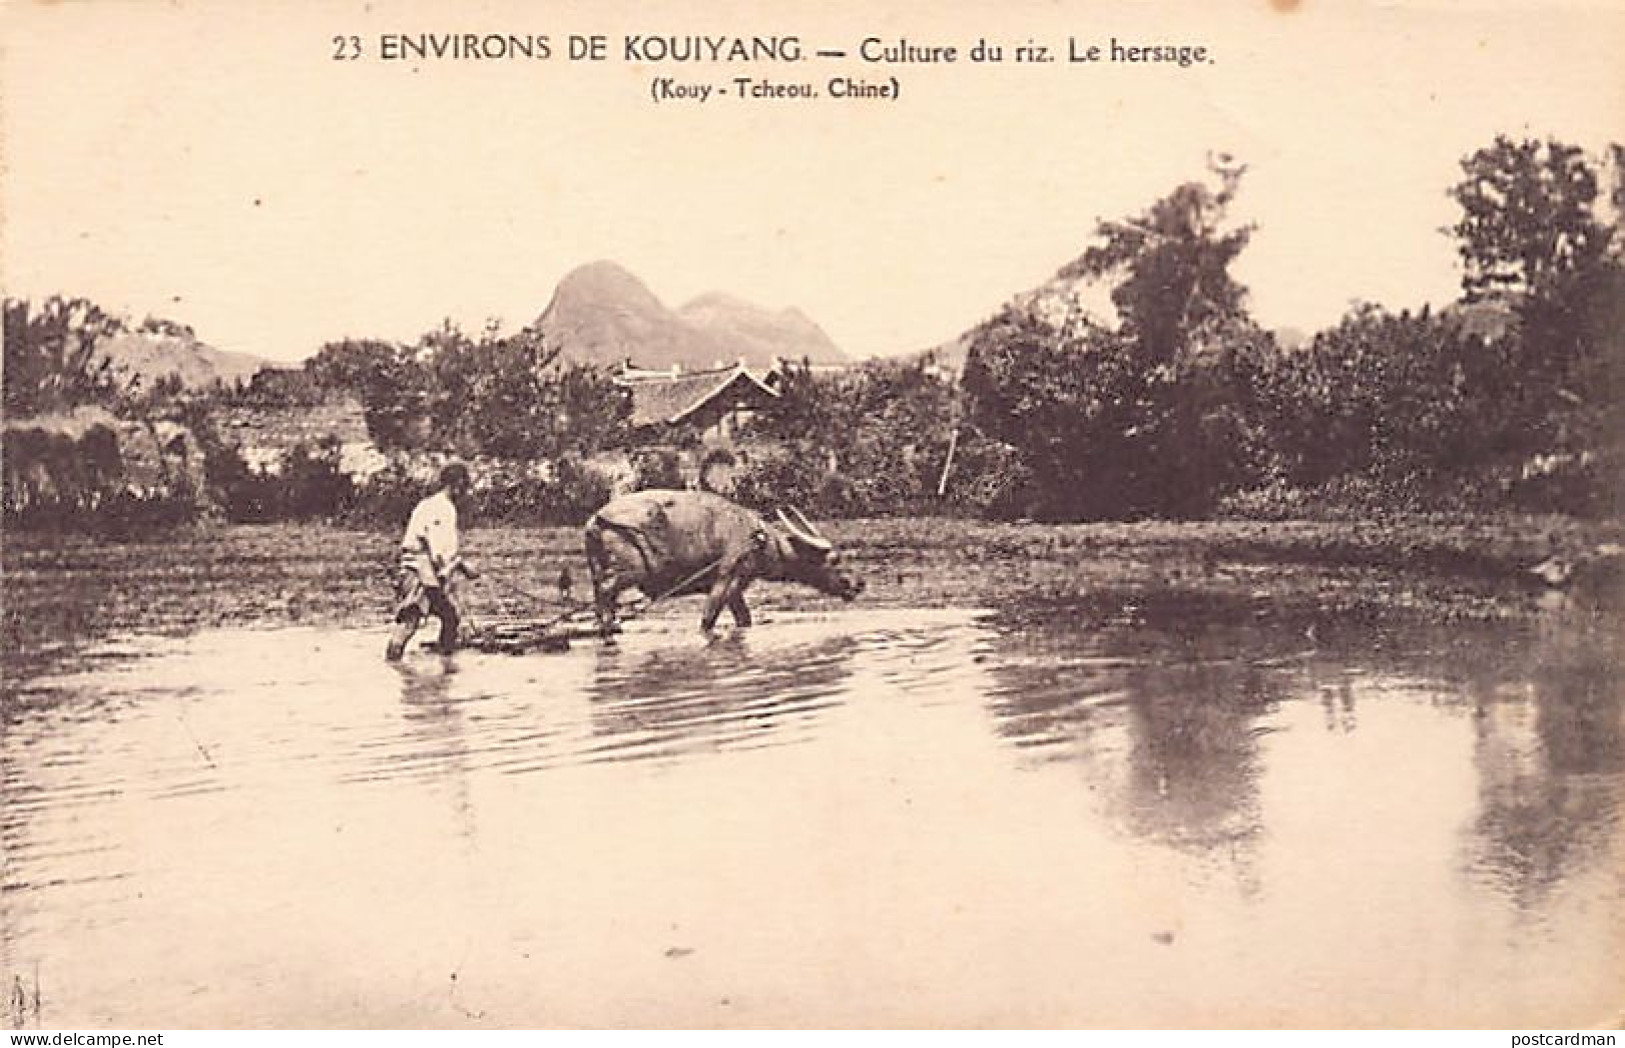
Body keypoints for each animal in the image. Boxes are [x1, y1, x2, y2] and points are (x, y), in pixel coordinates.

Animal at [585, 487, 864, 633]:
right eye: (834, 560)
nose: (859, 584)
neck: (756, 537)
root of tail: (597, 519)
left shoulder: (736, 588)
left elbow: (744, 620)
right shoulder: (725, 579)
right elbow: (707, 621)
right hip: (631, 571)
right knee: (606, 592)